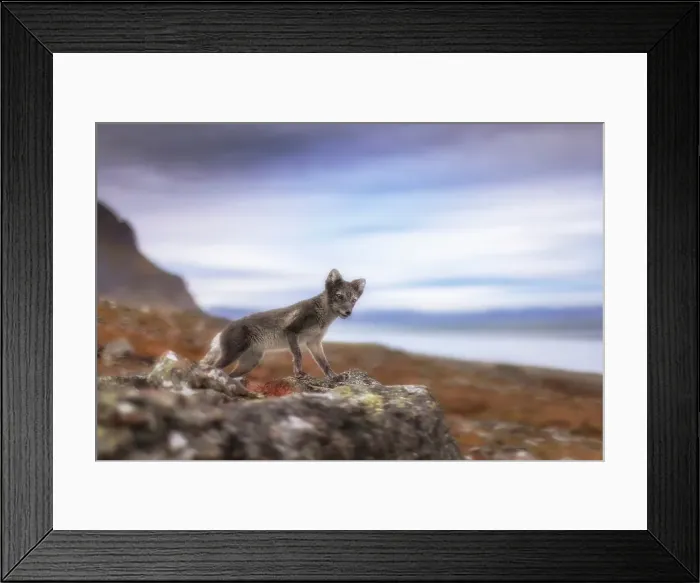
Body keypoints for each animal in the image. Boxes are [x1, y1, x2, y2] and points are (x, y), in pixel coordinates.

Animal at [200, 269, 366, 382]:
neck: (322, 317)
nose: (348, 312)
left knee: (229, 374)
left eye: (354, 300)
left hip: (249, 363)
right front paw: (299, 373)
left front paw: (334, 377)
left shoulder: (314, 342)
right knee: (212, 368)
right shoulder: (291, 331)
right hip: (232, 354)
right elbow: (298, 355)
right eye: (339, 296)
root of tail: (221, 332)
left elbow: (324, 363)